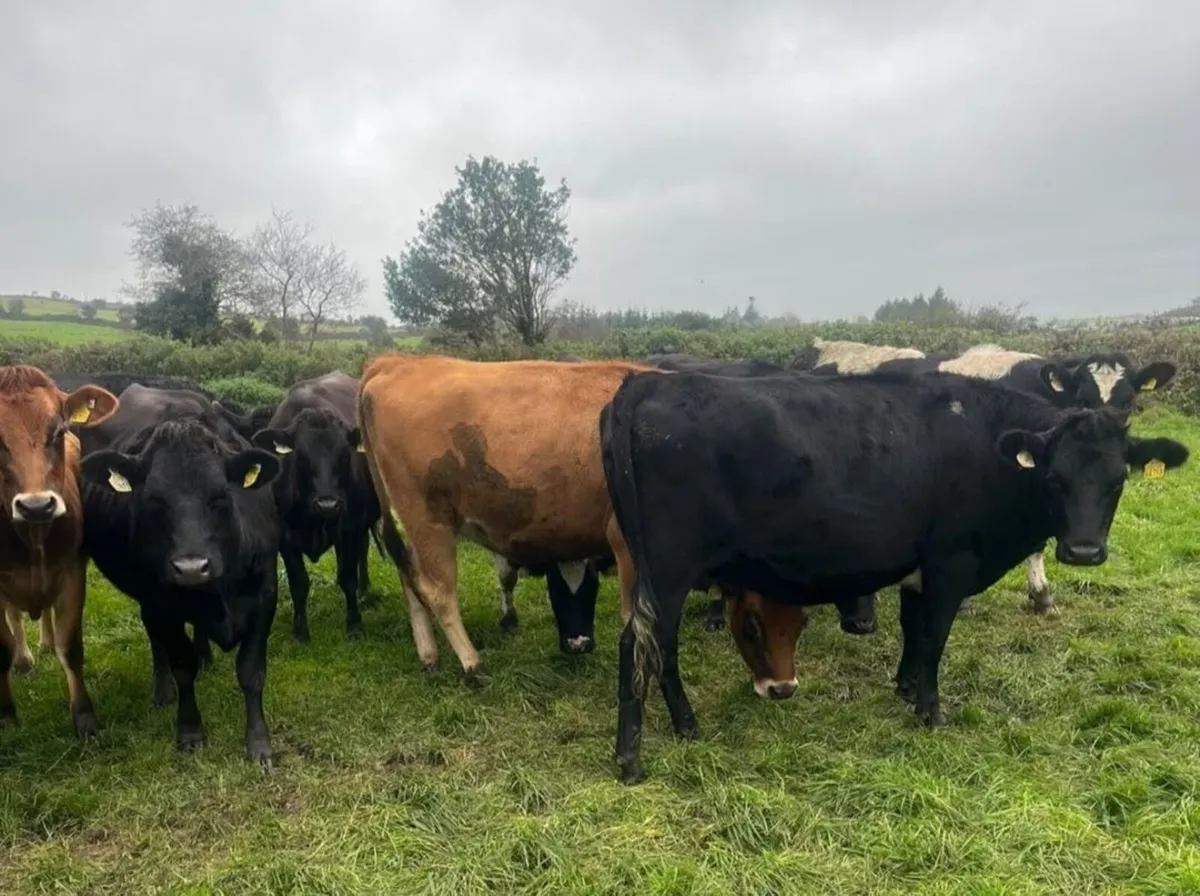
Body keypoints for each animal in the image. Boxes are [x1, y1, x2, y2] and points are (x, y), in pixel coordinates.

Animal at [0, 365, 119, 737]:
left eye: (58, 431)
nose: (36, 505)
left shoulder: (72, 571)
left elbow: (71, 645)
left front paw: (84, 716)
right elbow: (1, 648)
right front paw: (6, 715)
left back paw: (46, 643)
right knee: (14, 618)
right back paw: (24, 660)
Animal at [77, 392, 282, 762]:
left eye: (222, 495)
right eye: (154, 499)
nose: (191, 568)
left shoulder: (265, 594)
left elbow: (251, 672)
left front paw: (259, 744)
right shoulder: (162, 603)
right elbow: (182, 665)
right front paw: (189, 731)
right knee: (155, 638)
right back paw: (163, 688)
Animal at [249, 371, 381, 642]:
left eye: (345, 455)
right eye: (300, 457)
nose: (327, 504)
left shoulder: (348, 529)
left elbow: (347, 578)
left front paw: (354, 625)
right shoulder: (285, 539)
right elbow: (299, 583)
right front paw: (300, 632)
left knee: (362, 552)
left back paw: (364, 592)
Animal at [356, 354, 666, 678]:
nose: (578, 645)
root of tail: (397, 362)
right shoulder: (626, 544)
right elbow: (637, 621)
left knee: (409, 578)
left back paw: (429, 655)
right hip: (429, 520)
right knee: (438, 592)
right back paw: (471, 663)